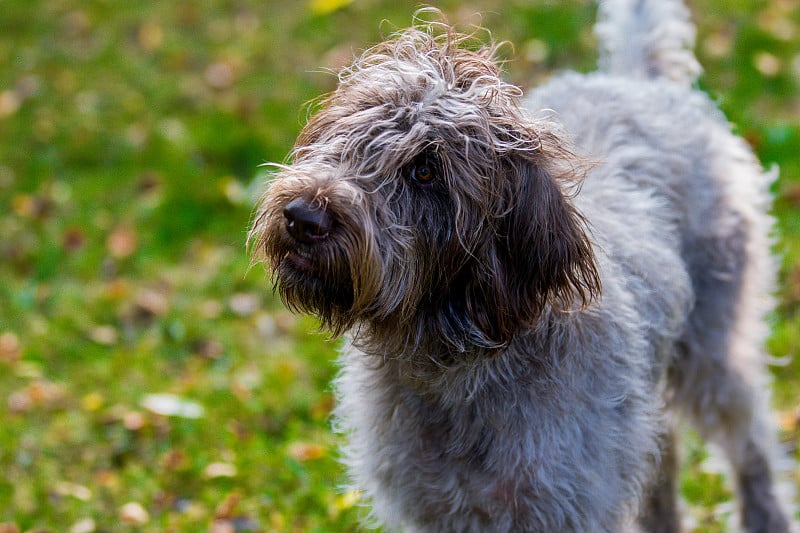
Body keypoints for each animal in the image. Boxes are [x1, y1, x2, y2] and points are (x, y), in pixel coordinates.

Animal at [248, 1, 792, 528]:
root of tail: (639, 79)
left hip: (715, 353)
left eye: (425, 170)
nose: (302, 217)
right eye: (345, 136)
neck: (449, 368)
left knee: (753, 451)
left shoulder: (565, 509)